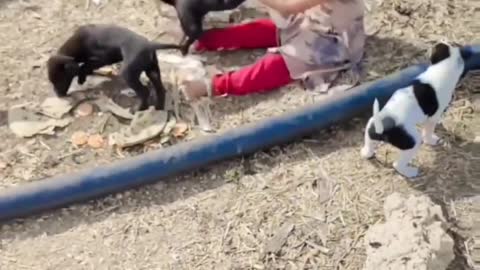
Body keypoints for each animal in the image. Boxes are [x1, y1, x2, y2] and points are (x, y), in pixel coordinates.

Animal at [47, 23, 182, 112]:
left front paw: (81, 78)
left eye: (60, 79)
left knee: (144, 91)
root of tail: (149, 45)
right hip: (152, 70)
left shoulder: (102, 58)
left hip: (129, 73)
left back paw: (138, 109)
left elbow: (84, 66)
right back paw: (159, 108)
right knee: (160, 90)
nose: (58, 95)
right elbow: (85, 66)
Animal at [360, 42, 472, 179]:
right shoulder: (433, 117)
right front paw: (431, 140)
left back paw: (366, 153)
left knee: (369, 143)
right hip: (413, 142)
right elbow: (429, 131)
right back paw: (410, 172)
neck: (441, 68)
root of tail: (383, 129)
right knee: (397, 165)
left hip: (371, 126)